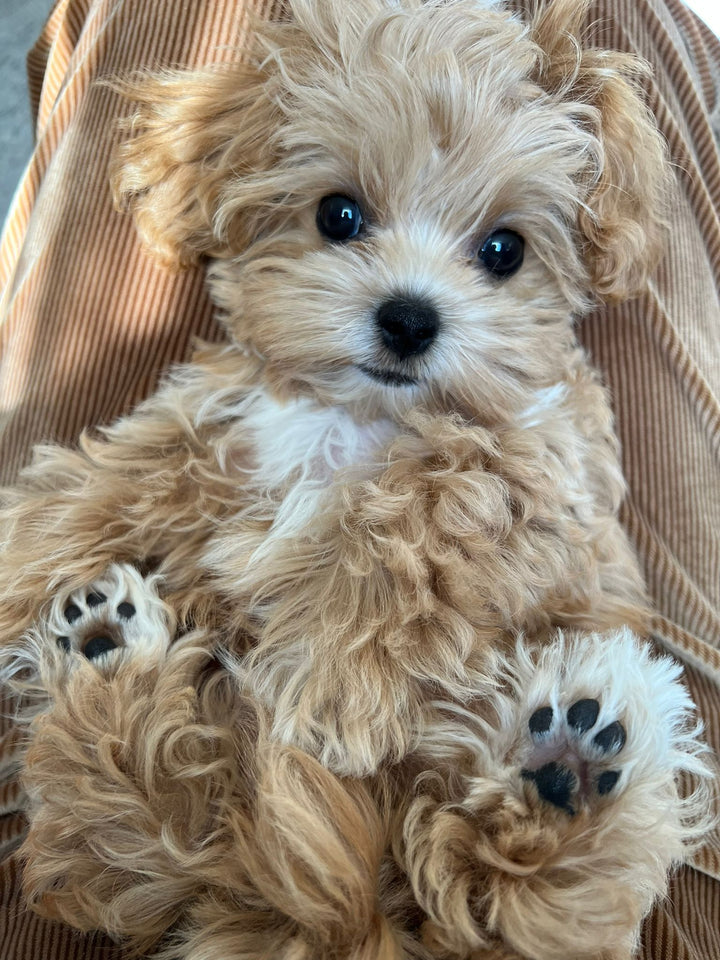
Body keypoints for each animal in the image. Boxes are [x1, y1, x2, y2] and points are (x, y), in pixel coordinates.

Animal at [0, 1, 712, 960]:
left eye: (504, 249)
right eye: (338, 215)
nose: (408, 318)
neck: (360, 416)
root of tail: (342, 908)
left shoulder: (534, 471)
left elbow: (423, 523)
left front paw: (329, 687)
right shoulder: (213, 432)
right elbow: (107, 485)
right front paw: (23, 550)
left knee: (511, 879)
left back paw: (574, 761)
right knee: (147, 815)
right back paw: (108, 649)